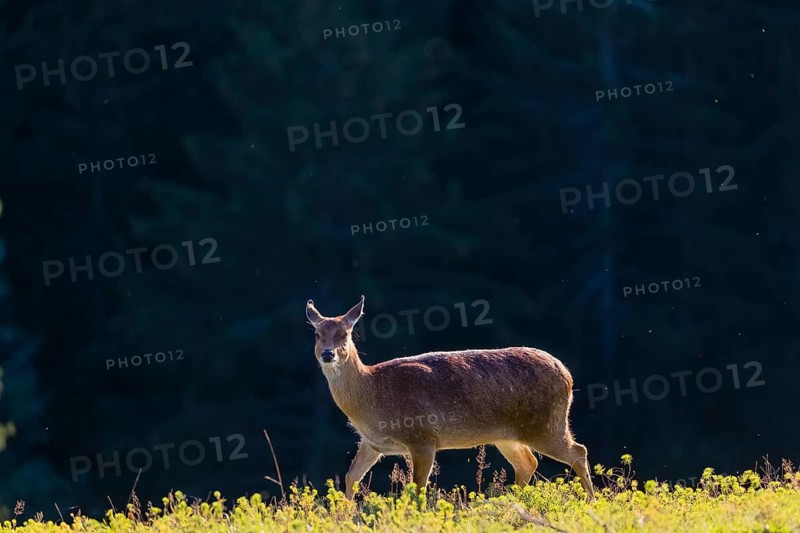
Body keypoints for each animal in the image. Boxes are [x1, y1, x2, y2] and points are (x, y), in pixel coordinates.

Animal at [305, 295, 595, 501]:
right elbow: (350, 477)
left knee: (578, 451)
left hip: (545, 424)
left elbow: (418, 488)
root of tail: (567, 375)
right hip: (507, 435)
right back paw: (511, 503)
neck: (372, 394)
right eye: (317, 334)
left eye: (345, 333)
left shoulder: (422, 437)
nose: (328, 354)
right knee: (529, 462)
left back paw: (590, 501)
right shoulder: (371, 443)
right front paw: (344, 514)